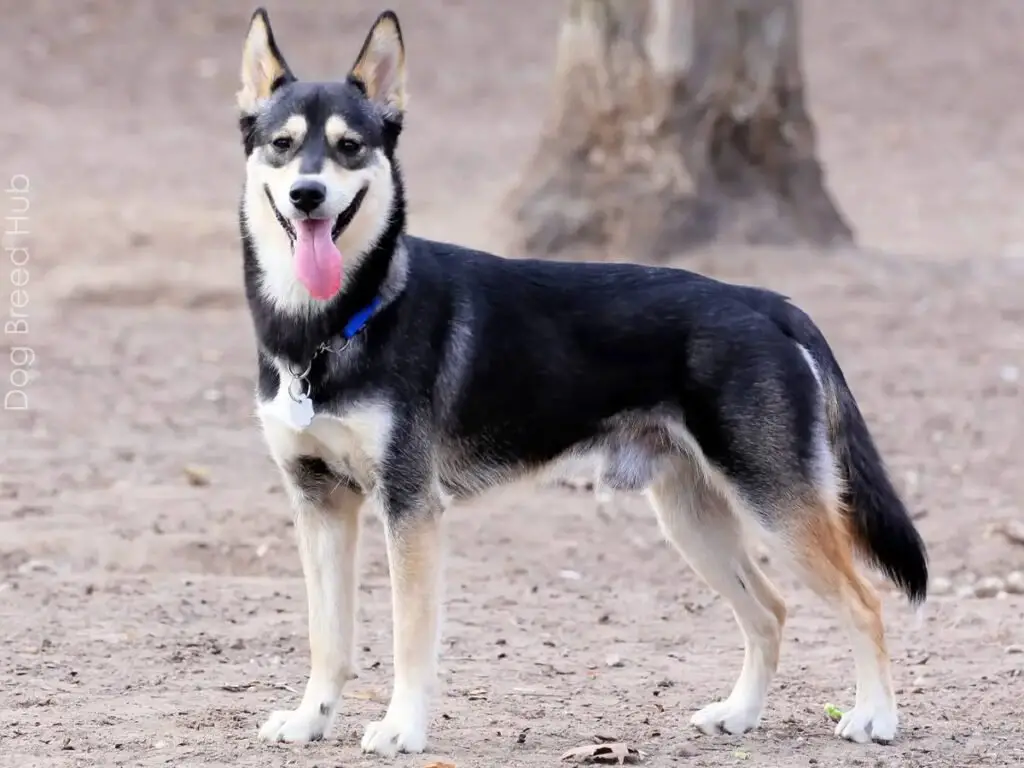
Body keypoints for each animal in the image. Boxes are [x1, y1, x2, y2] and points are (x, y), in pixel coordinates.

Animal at [237, 9, 929, 761]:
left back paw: (876, 717)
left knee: (864, 602)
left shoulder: (410, 507)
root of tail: (765, 301)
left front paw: (402, 728)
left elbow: (410, 637)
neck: (332, 324)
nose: (307, 195)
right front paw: (309, 720)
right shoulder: (320, 503)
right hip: (692, 517)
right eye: (282, 145)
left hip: (778, 505)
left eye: (349, 147)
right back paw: (740, 714)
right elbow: (327, 638)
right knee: (770, 611)